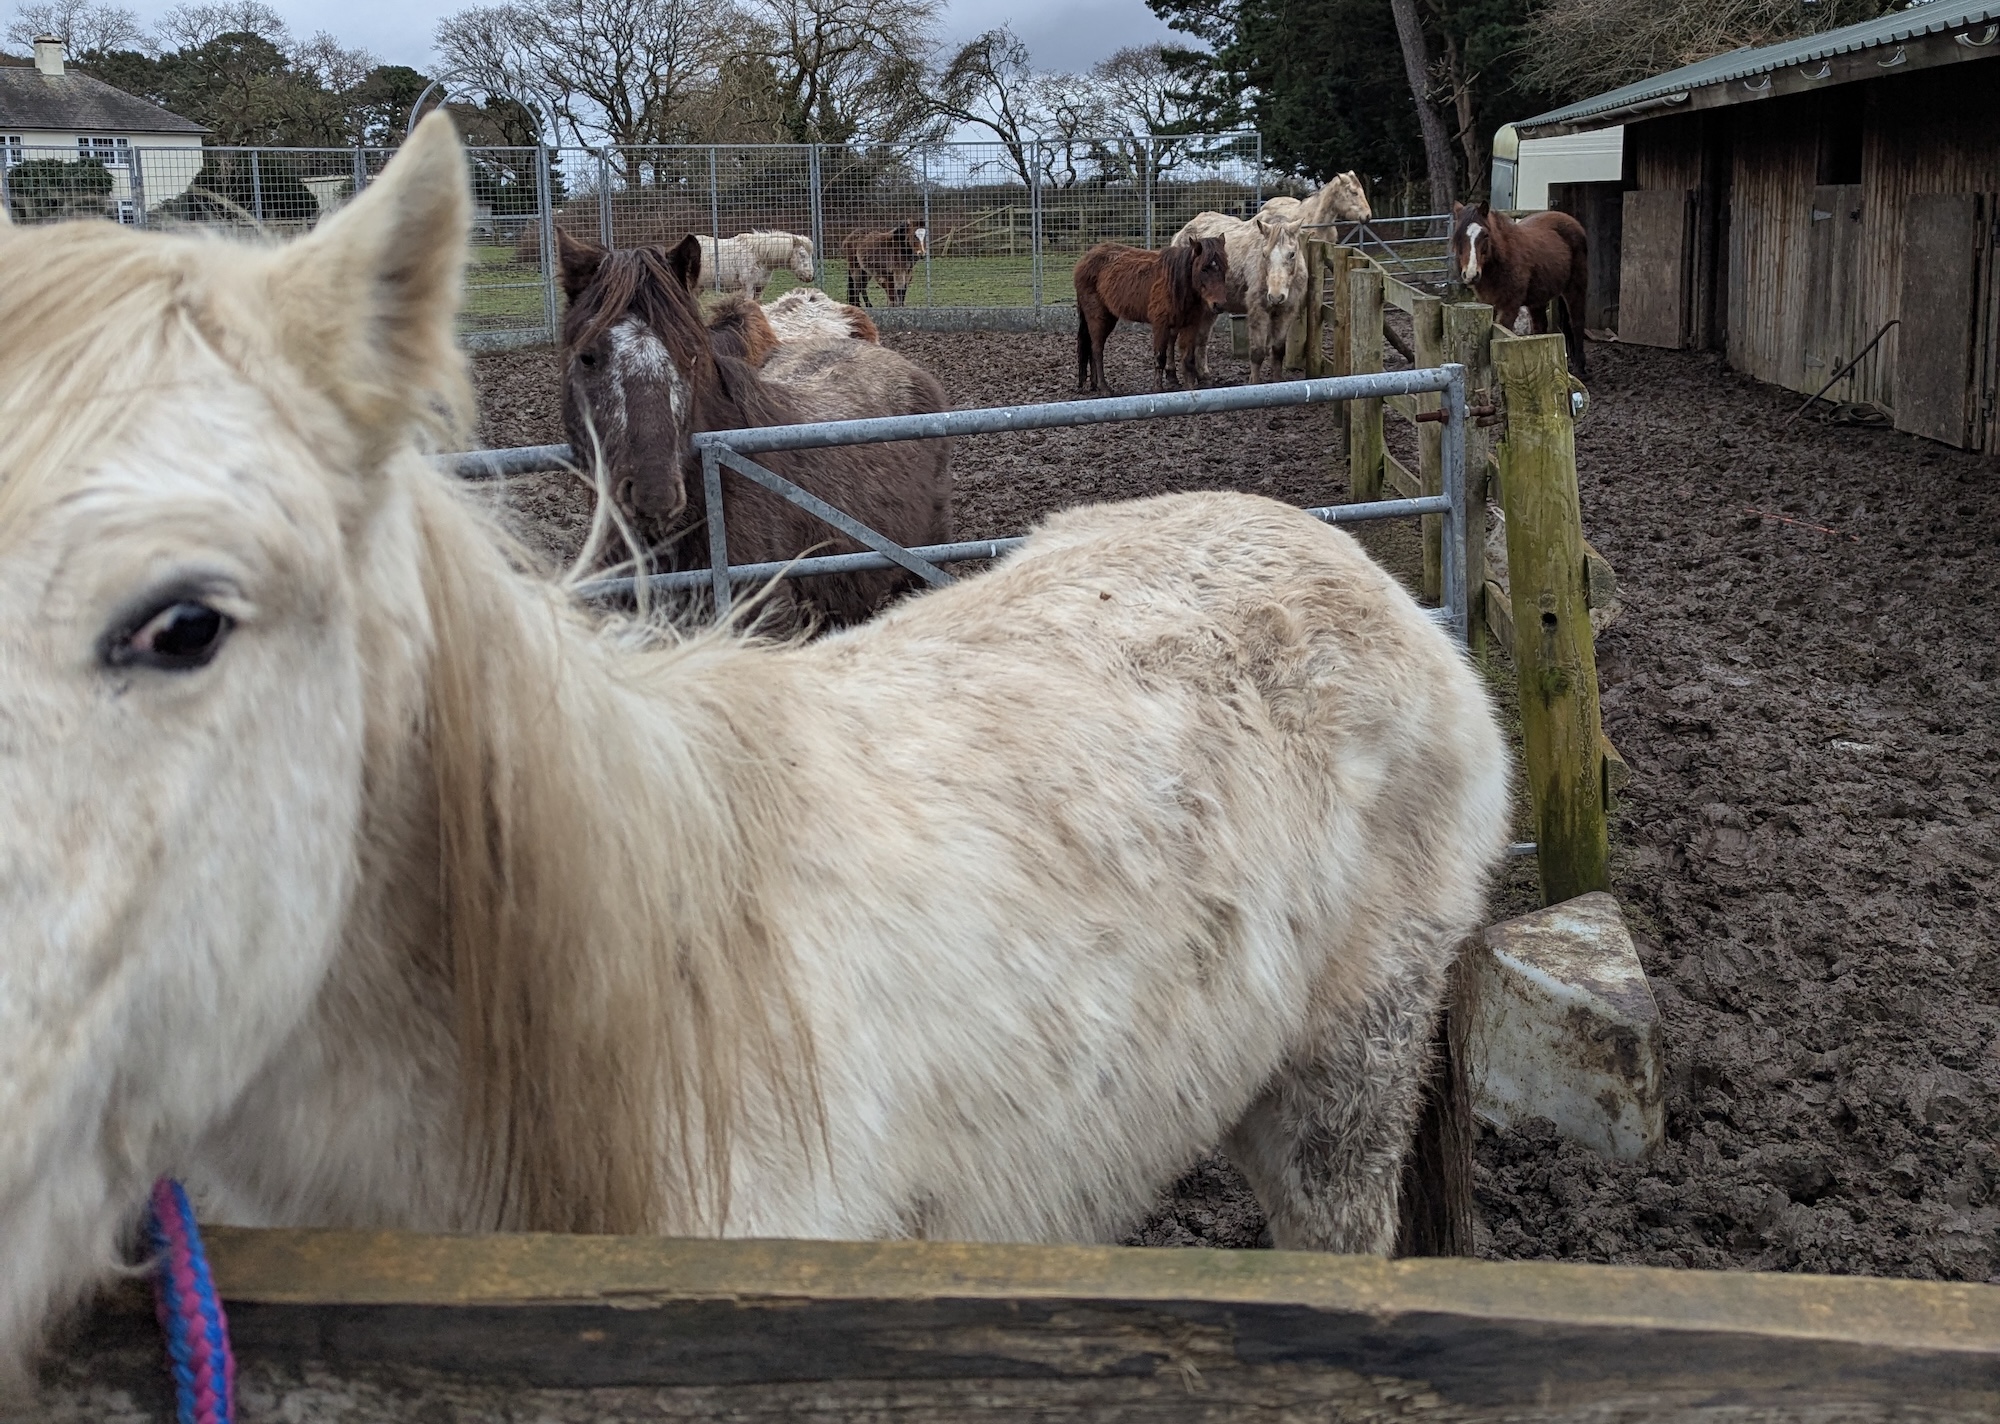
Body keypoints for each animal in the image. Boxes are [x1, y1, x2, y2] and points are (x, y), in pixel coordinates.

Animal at [1073, 238, 1231, 393]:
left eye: (1225, 268)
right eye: (1203, 268)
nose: (1219, 304)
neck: (1176, 284)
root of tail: (1084, 259)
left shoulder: (1190, 325)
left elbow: (1188, 358)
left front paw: (1190, 387)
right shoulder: (1161, 325)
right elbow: (1160, 356)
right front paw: (1157, 388)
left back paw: (1095, 385)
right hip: (1099, 317)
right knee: (1097, 350)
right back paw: (1104, 387)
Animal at [1171, 212, 1305, 384]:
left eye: (1292, 254)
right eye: (1264, 254)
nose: (1275, 297)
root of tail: (1181, 233)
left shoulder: (1287, 311)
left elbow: (1278, 350)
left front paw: (1278, 381)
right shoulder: (1258, 310)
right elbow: (1257, 353)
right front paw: (1254, 383)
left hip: (1208, 309)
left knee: (1201, 339)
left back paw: (1202, 376)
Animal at [1450, 201, 1590, 378]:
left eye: (1485, 235)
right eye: (1458, 236)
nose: (1471, 274)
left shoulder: (1510, 307)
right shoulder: (1489, 305)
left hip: (1575, 288)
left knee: (1577, 322)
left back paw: (1579, 367)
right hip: (1538, 299)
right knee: (1540, 327)